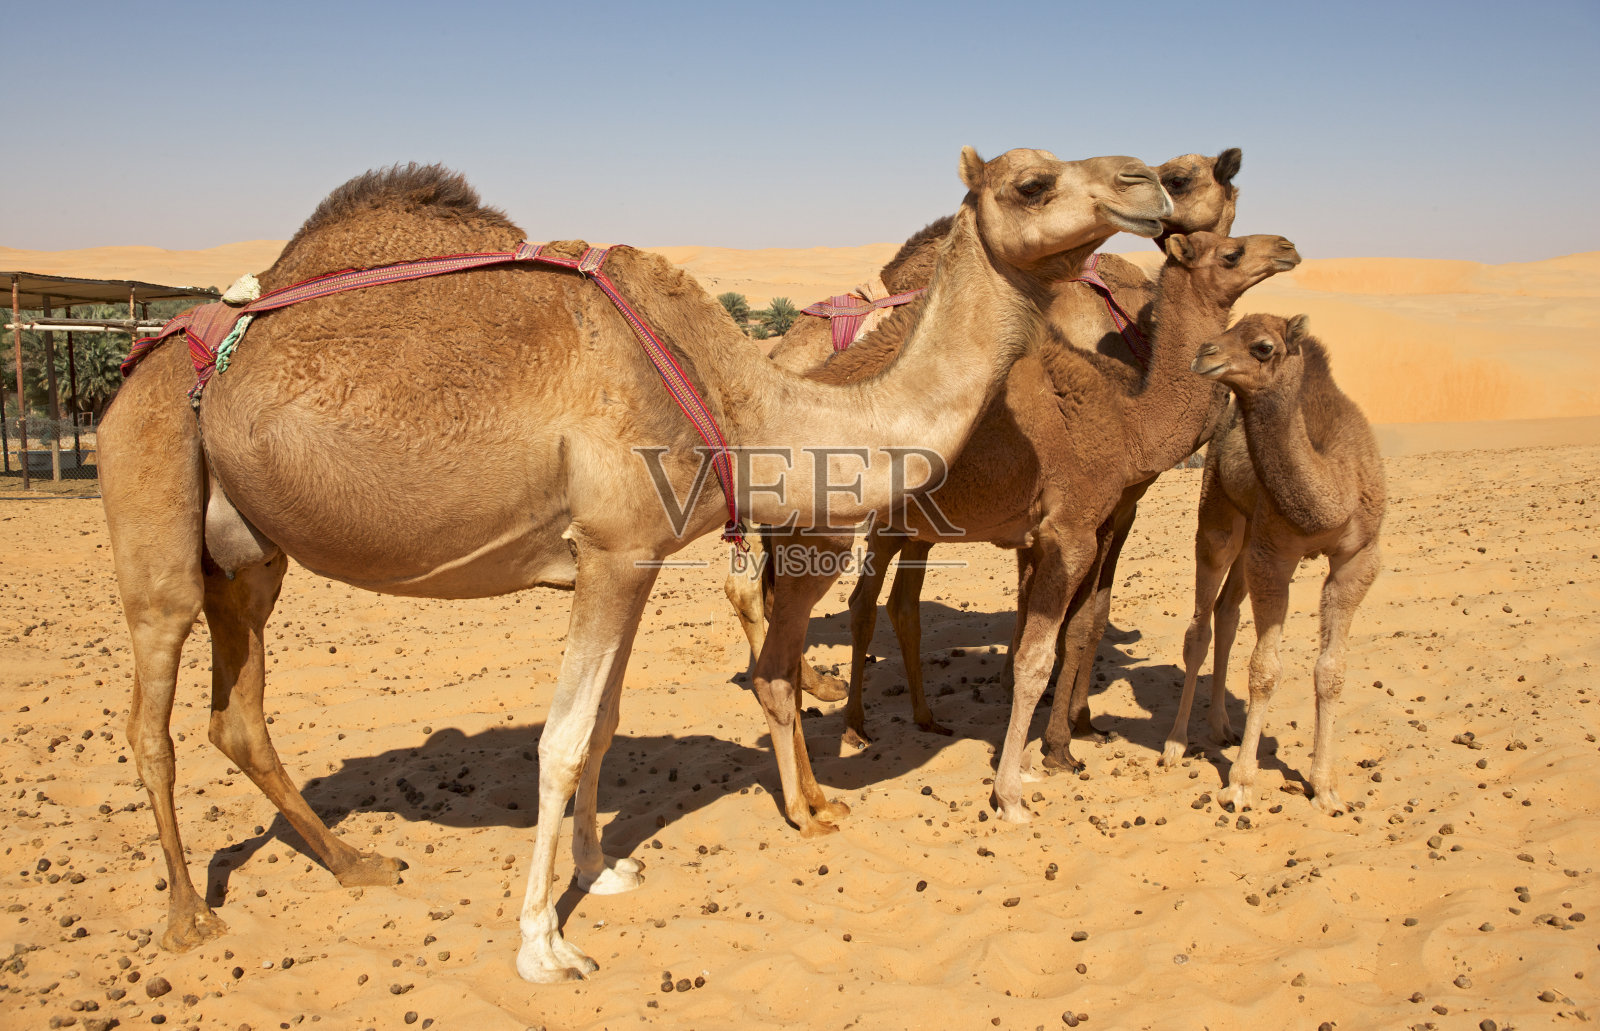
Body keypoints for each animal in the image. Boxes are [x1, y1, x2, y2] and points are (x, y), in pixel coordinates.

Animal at [103, 148, 1177, 979]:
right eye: (1034, 181)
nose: (1154, 183)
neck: (738, 398)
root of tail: (142, 359)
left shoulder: (637, 558)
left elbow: (607, 723)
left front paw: (599, 869)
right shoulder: (615, 549)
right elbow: (563, 737)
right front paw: (544, 943)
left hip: (249, 556)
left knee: (237, 715)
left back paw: (357, 861)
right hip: (155, 509)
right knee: (150, 719)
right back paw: (189, 916)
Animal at [1164, 313, 1388, 813]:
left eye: (1263, 347)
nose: (1203, 352)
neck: (1333, 488)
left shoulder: (1358, 559)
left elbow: (1331, 671)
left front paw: (1325, 788)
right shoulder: (1274, 556)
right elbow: (1265, 670)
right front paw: (1240, 785)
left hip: (1251, 530)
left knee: (1227, 611)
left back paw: (1221, 727)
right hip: (1221, 514)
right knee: (1199, 626)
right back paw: (1175, 741)